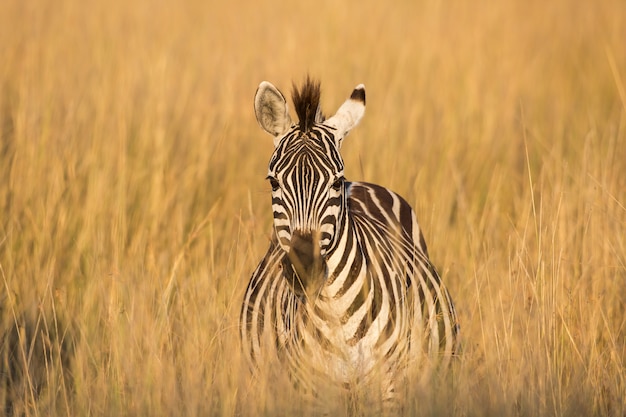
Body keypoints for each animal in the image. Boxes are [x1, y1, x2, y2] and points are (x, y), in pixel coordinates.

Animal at [239, 77, 458, 410]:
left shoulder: (390, 384)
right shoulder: (309, 388)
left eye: (336, 183)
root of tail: (363, 184)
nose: (304, 268)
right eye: (273, 183)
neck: (335, 313)